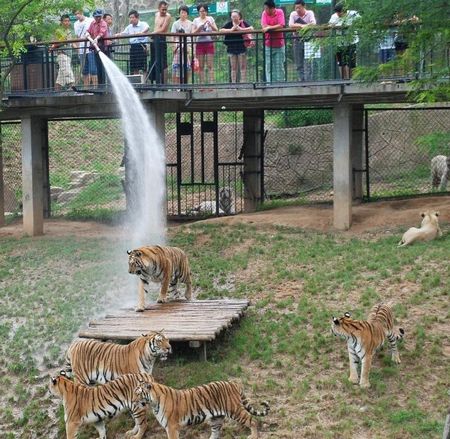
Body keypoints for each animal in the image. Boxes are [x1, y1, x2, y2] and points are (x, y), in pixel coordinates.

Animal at [132, 380, 268, 438]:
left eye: (138, 393)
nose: (132, 401)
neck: (153, 403)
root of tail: (234, 383)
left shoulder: (172, 427)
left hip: (235, 410)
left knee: (253, 421)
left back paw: (253, 436)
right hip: (216, 418)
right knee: (216, 433)